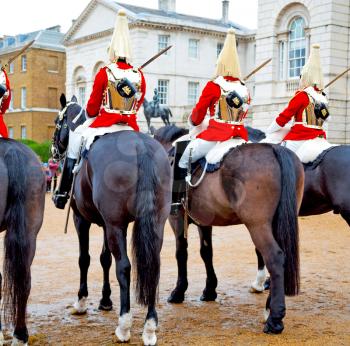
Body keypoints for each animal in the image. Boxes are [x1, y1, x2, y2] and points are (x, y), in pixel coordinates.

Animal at [51, 93, 171, 344]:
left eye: (58, 123)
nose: (53, 151)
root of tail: (141, 146)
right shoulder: (107, 224)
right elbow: (104, 258)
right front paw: (105, 300)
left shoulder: (83, 219)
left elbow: (85, 258)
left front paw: (82, 301)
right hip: (155, 223)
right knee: (153, 265)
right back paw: (149, 327)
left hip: (116, 225)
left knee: (124, 266)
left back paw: (124, 326)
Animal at [153, 125, 304, 334]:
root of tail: (274, 149)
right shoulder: (204, 222)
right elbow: (206, 253)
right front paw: (209, 290)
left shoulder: (176, 220)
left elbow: (181, 253)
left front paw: (178, 291)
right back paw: (268, 309)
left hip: (258, 226)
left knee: (274, 258)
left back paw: (274, 318)